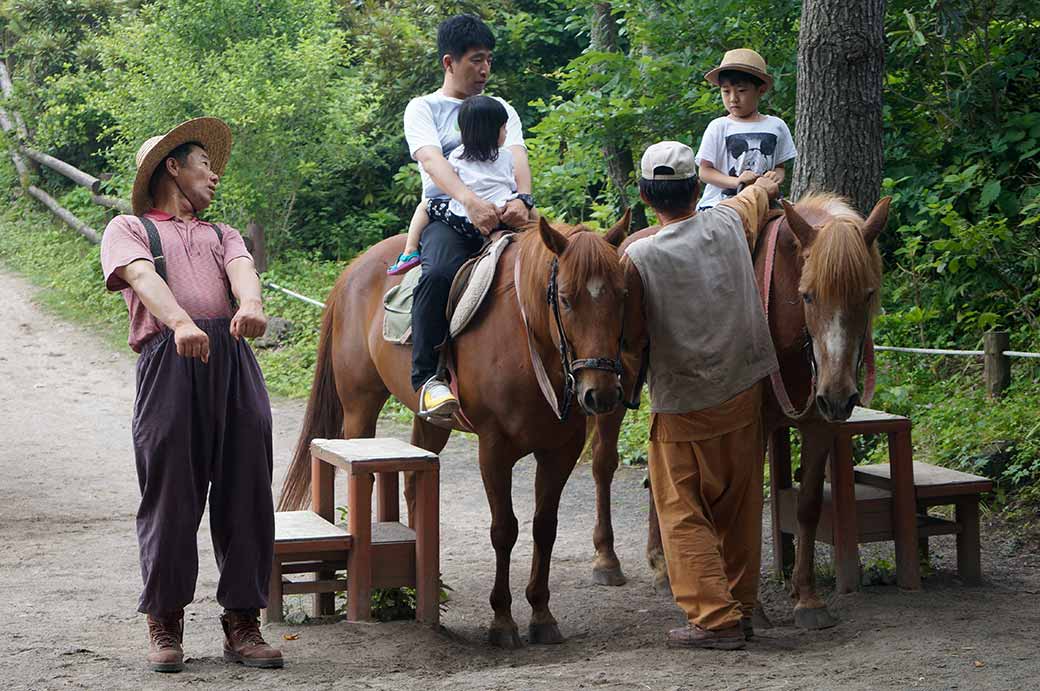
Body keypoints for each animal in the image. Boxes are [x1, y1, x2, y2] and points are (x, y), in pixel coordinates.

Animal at [277, 213, 638, 648]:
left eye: (622, 295)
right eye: (566, 299)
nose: (601, 393)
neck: (529, 343)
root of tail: (353, 270)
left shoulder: (561, 450)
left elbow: (544, 527)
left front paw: (541, 614)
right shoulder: (495, 448)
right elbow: (504, 529)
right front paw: (502, 620)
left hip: (430, 421)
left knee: (414, 488)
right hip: (360, 406)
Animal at [588, 193, 889, 630]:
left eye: (866, 294)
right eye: (809, 294)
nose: (838, 394)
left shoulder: (819, 422)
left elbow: (808, 505)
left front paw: (808, 598)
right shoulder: (753, 425)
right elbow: (744, 509)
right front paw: (755, 607)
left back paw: (663, 567)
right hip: (612, 390)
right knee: (603, 464)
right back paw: (607, 560)